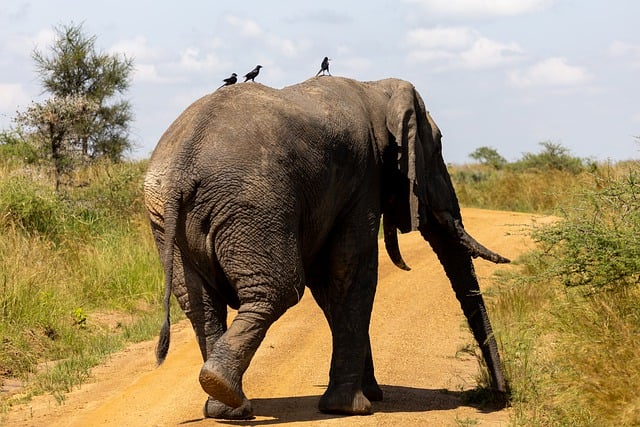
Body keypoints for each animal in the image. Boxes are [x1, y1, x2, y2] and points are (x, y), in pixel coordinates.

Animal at [145, 75, 510, 420]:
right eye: (438, 149)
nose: (500, 396)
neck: (375, 89)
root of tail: (183, 163)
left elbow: (328, 285)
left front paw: (370, 394)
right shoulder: (364, 178)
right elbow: (349, 273)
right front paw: (352, 407)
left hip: (168, 219)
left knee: (202, 306)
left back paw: (226, 406)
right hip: (253, 203)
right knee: (278, 290)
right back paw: (222, 386)